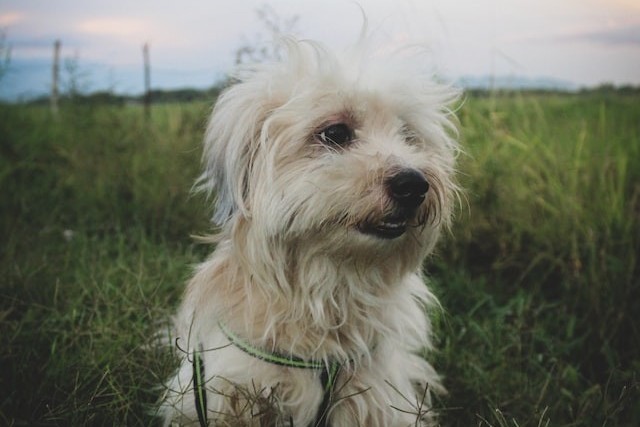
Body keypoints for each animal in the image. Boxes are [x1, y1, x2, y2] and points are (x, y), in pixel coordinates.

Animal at [160, 35, 460, 426]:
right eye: (335, 133)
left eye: (408, 136)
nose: (414, 184)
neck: (329, 288)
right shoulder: (231, 387)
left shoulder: (377, 394)